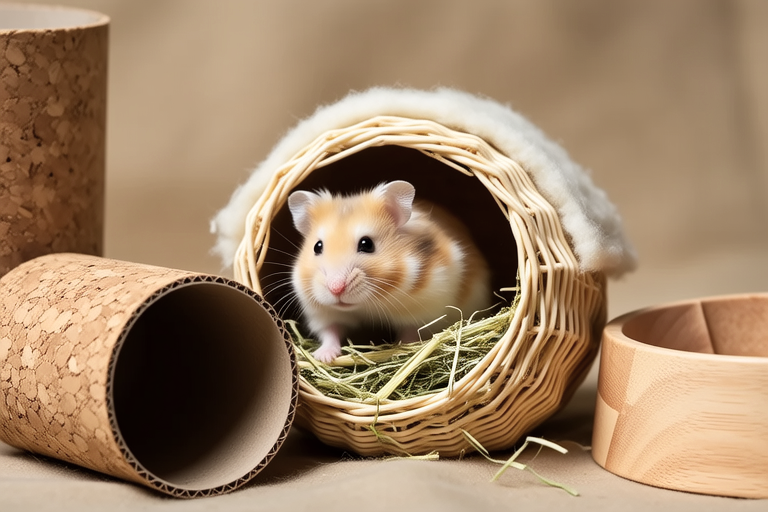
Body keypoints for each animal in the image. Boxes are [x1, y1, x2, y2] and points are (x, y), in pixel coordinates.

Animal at [287, 180, 491, 363]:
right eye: (317, 246)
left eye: (367, 244)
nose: (336, 289)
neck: (366, 304)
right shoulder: (322, 314)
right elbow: (330, 332)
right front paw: (324, 358)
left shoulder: (427, 310)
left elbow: (411, 331)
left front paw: (400, 348)